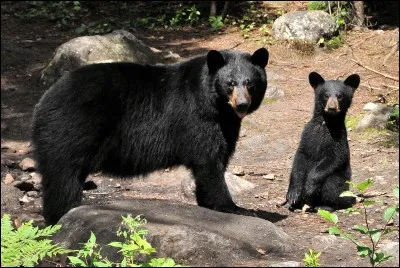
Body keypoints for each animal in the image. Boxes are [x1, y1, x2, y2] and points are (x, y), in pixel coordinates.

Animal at [31, 48, 268, 224]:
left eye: (250, 83)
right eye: (230, 83)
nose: (242, 105)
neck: (216, 106)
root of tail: (43, 101)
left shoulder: (226, 123)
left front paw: (208, 202)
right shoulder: (197, 117)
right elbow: (208, 159)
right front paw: (234, 207)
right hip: (72, 129)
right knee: (64, 176)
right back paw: (63, 213)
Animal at [282, 71, 360, 211]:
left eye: (339, 96)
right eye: (326, 95)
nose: (332, 107)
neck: (326, 123)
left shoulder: (338, 138)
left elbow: (334, 158)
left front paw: (309, 187)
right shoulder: (307, 134)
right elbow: (300, 156)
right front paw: (293, 194)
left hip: (342, 184)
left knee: (332, 184)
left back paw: (324, 206)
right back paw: (293, 203)